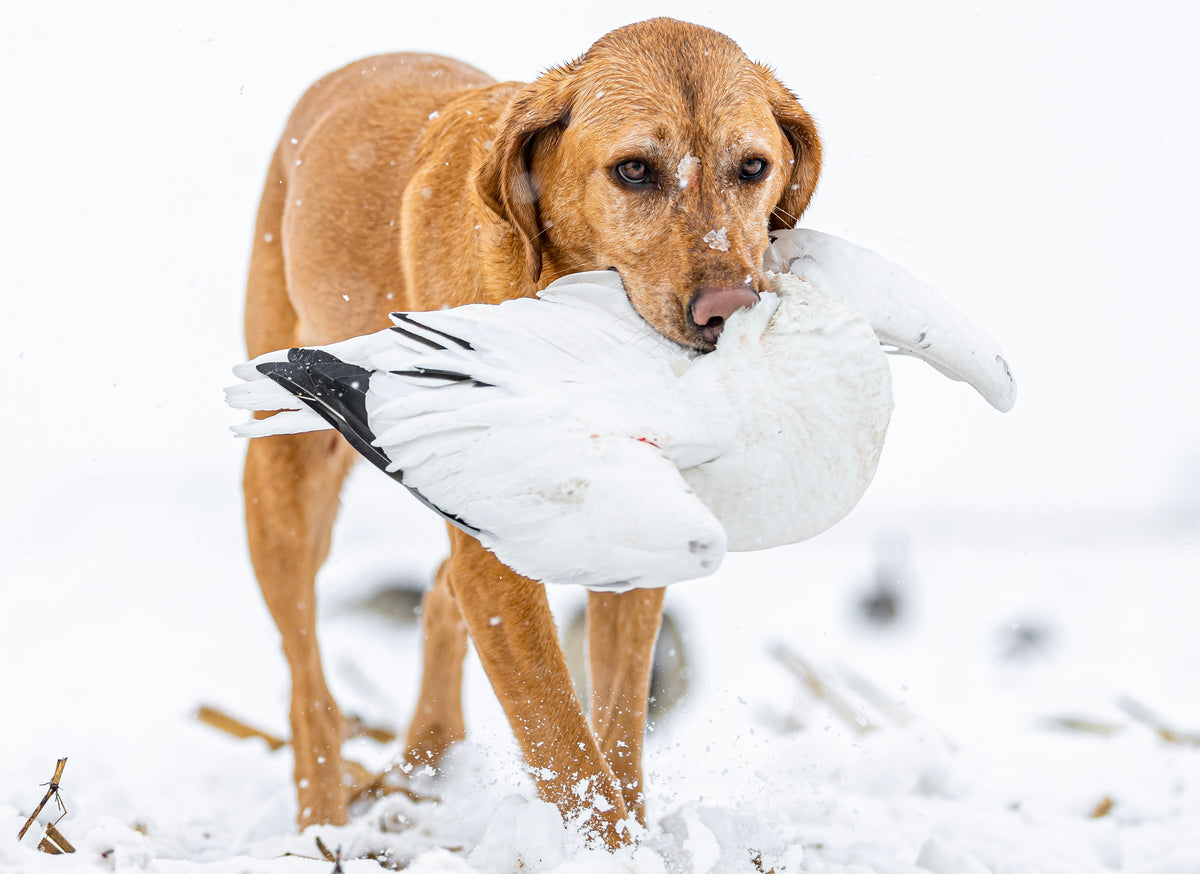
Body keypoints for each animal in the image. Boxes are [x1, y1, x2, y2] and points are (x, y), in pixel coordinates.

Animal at [241, 17, 825, 845]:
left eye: (753, 166)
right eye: (634, 170)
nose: (729, 308)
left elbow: (614, 734)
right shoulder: (500, 576)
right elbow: (562, 739)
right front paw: (611, 850)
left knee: (438, 595)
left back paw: (427, 758)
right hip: (284, 490)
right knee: (307, 684)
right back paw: (323, 820)